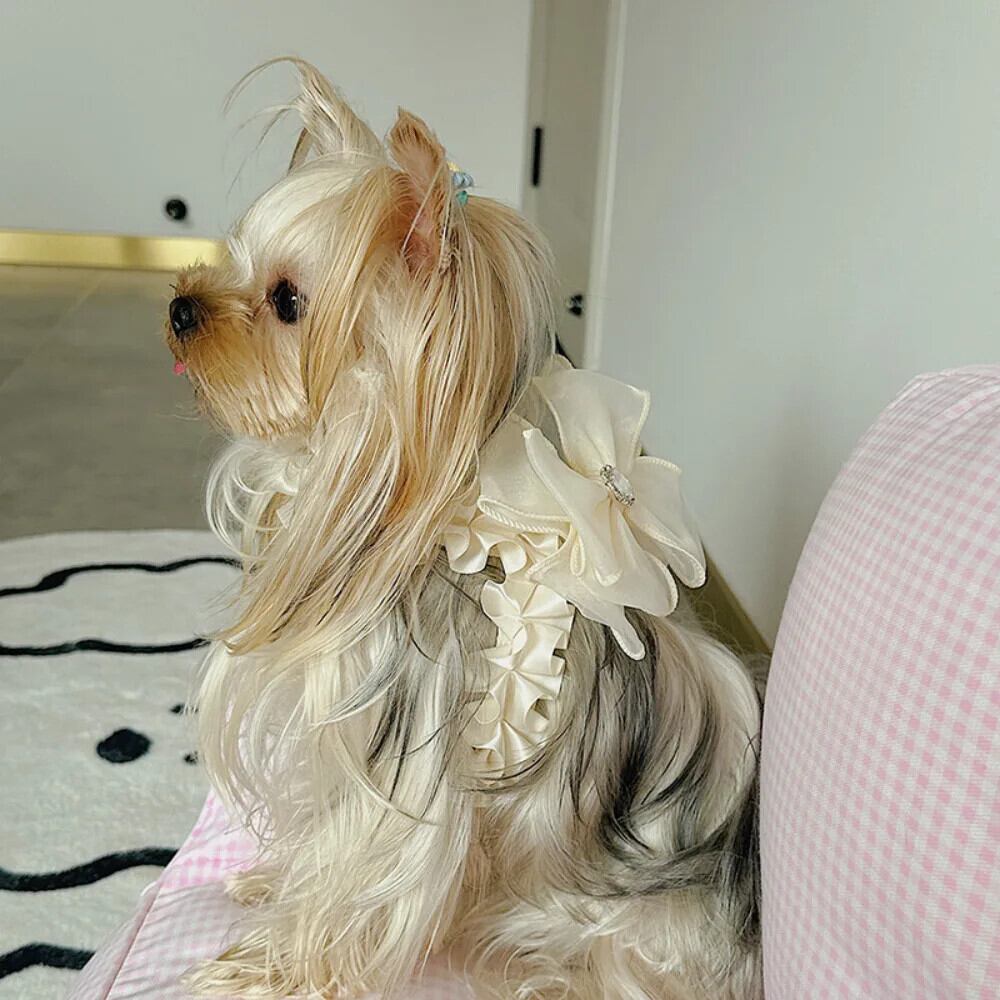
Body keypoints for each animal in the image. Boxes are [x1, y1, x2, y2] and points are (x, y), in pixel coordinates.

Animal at [165, 61, 763, 1000]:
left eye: (289, 302)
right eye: (233, 260)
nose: (182, 307)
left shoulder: (403, 766)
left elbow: (360, 878)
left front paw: (272, 969)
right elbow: (320, 834)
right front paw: (270, 885)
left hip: (611, 930)